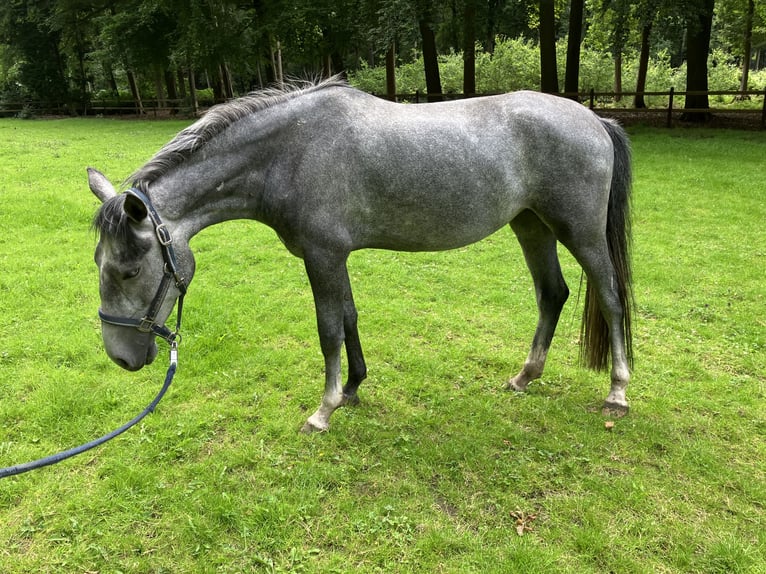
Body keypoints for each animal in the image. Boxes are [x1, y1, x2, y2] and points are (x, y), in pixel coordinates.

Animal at [88, 77, 636, 436]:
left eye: (129, 270)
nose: (120, 357)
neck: (289, 152)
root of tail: (594, 117)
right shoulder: (336, 257)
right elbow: (350, 317)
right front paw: (352, 388)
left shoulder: (322, 256)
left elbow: (329, 328)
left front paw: (324, 410)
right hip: (531, 226)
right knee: (552, 294)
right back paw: (525, 377)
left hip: (580, 231)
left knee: (610, 297)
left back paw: (617, 392)